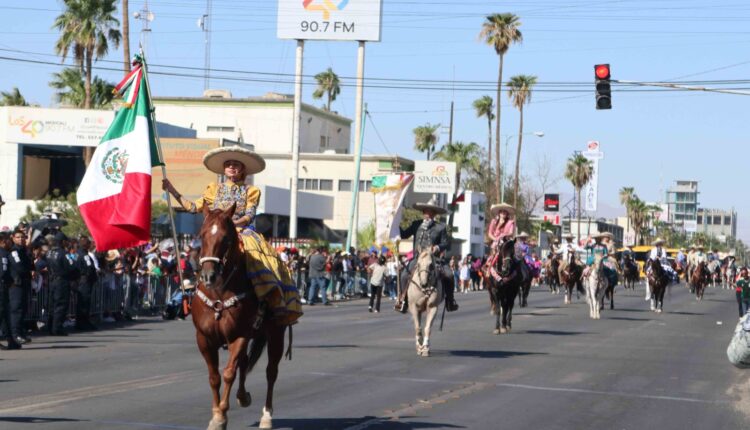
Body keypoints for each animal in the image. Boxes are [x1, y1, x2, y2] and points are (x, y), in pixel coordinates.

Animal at [195, 204, 290, 430]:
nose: (208, 276)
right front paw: (216, 415)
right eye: (202, 235)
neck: (219, 293)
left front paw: (221, 416)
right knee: (245, 363)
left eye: (226, 238)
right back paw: (242, 396)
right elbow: (214, 377)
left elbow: (229, 372)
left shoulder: (240, 335)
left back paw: (266, 416)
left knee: (271, 371)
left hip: (276, 333)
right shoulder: (204, 338)